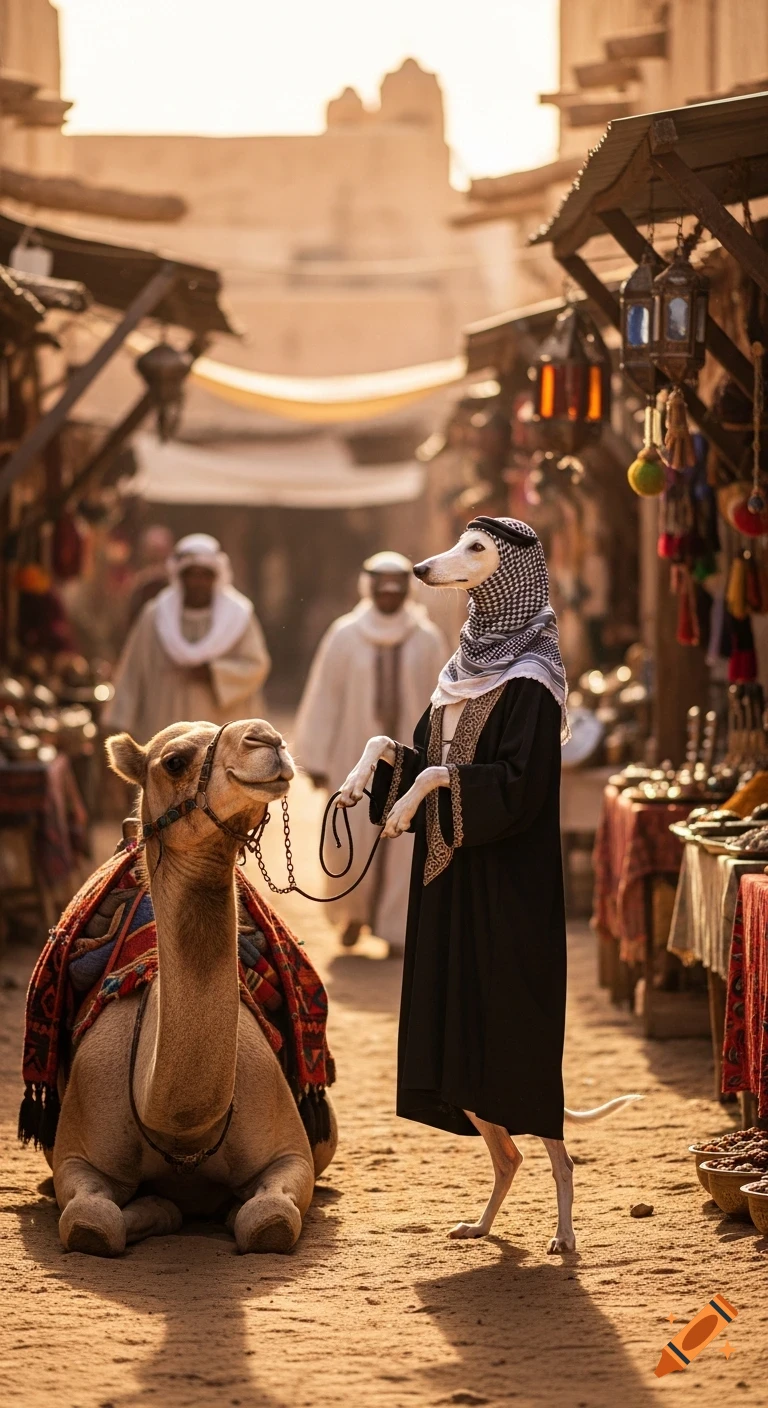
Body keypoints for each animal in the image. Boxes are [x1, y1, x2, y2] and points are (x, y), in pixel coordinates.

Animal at [52, 717, 337, 1257]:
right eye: (175, 761)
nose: (267, 738)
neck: (179, 1128)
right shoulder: (76, 1154)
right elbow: (90, 1221)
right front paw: (158, 1207)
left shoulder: (292, 1153)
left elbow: (269, 1219)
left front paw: (220, 1209)